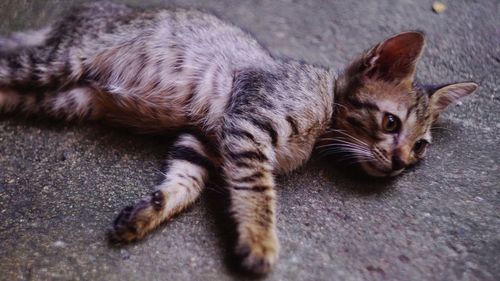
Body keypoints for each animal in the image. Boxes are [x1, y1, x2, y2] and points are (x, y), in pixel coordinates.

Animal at [0, 1, 476, 274]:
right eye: (391, 124)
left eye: (420, 147)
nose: (400, 164)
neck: (325, 106)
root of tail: (75, 16)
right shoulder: (248, 126)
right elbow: (258, 190)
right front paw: (261, 242)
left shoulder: (205, 140)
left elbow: (185, 180)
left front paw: (150, 210)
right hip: (58, 63)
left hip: (66, 99)